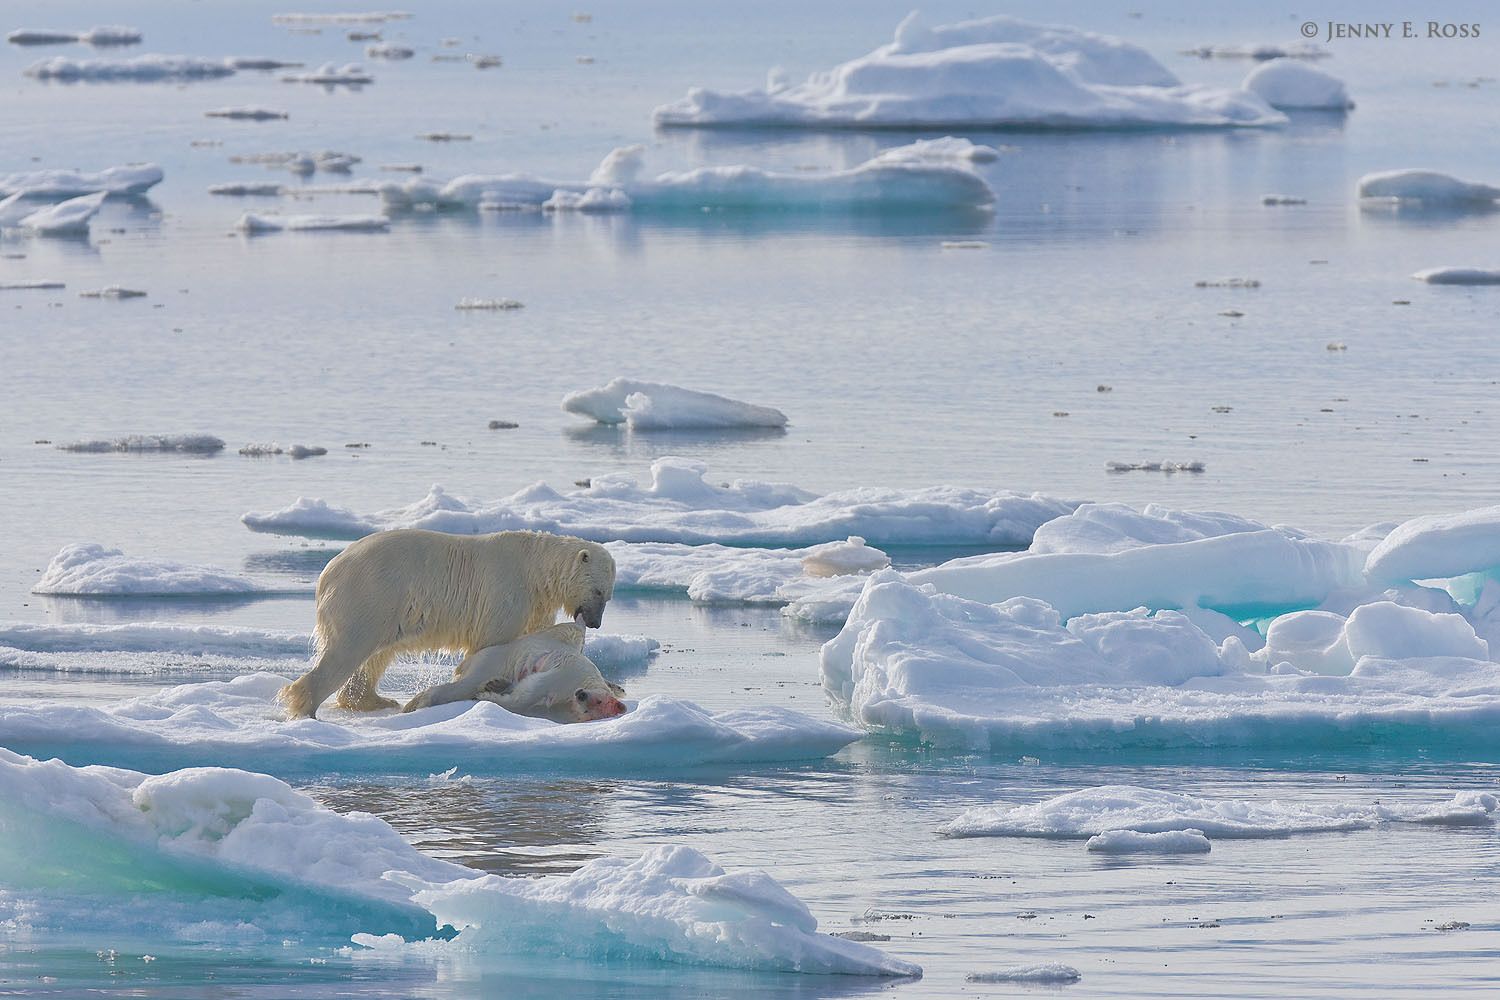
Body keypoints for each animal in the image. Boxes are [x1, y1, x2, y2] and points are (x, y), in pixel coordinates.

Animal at [401, 622, 627, 721]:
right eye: (598, 701)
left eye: (592, 709)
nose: (581, 695)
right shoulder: (566, 675)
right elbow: (526, 695)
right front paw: (486, 695)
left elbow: (525, 697)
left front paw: (489, 693)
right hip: (494, 658)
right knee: (467, 683)